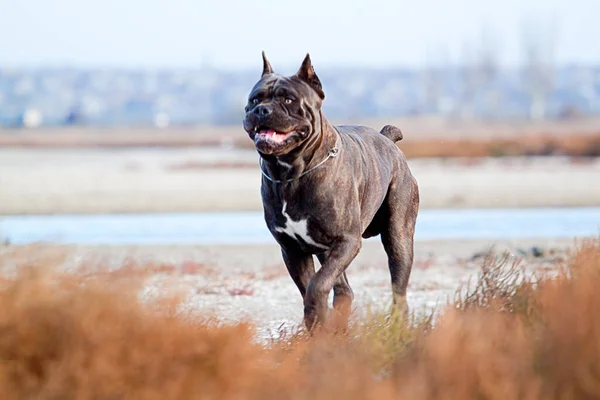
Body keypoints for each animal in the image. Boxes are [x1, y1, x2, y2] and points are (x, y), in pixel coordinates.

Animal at [241, 50, 420, 332]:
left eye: (288, 99)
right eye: (255, 99)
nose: (261, 109)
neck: (290, 173)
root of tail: (388, 139)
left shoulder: (347, 241)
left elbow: (318, 284)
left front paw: (317, 316)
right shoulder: (293, 250)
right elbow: (309, 285)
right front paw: (316, 323)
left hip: (399, 237)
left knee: (398, 289)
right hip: (327, 250)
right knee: (345, 290)